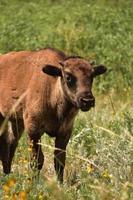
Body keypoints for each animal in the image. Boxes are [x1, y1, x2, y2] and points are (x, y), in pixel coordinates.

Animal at [0, 47, 106, 182]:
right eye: (68, 77)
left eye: (92, 76)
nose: (87, 100)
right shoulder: (33, 131)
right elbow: (37, 161)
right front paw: (34, 183)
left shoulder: (64, 133)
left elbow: (59, 162)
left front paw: (60, 184)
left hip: (15, 121)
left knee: (9, 144)